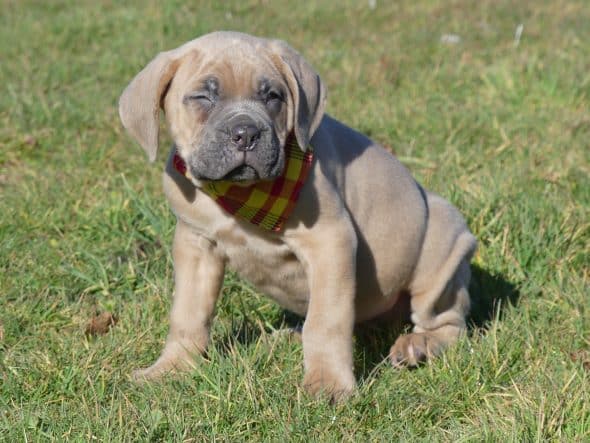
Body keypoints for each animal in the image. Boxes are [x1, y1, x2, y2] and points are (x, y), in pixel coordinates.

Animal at [118, 29, 478, 400]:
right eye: (203, 96)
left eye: (273, 96)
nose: (246, 133)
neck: (240, 196)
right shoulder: (196, 245)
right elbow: (187, 314)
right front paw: (171, 368)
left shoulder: (330, 242)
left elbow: (326, 321)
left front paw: (328, 384)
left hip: (442, 250)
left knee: (450, 323)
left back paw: (418, 345)